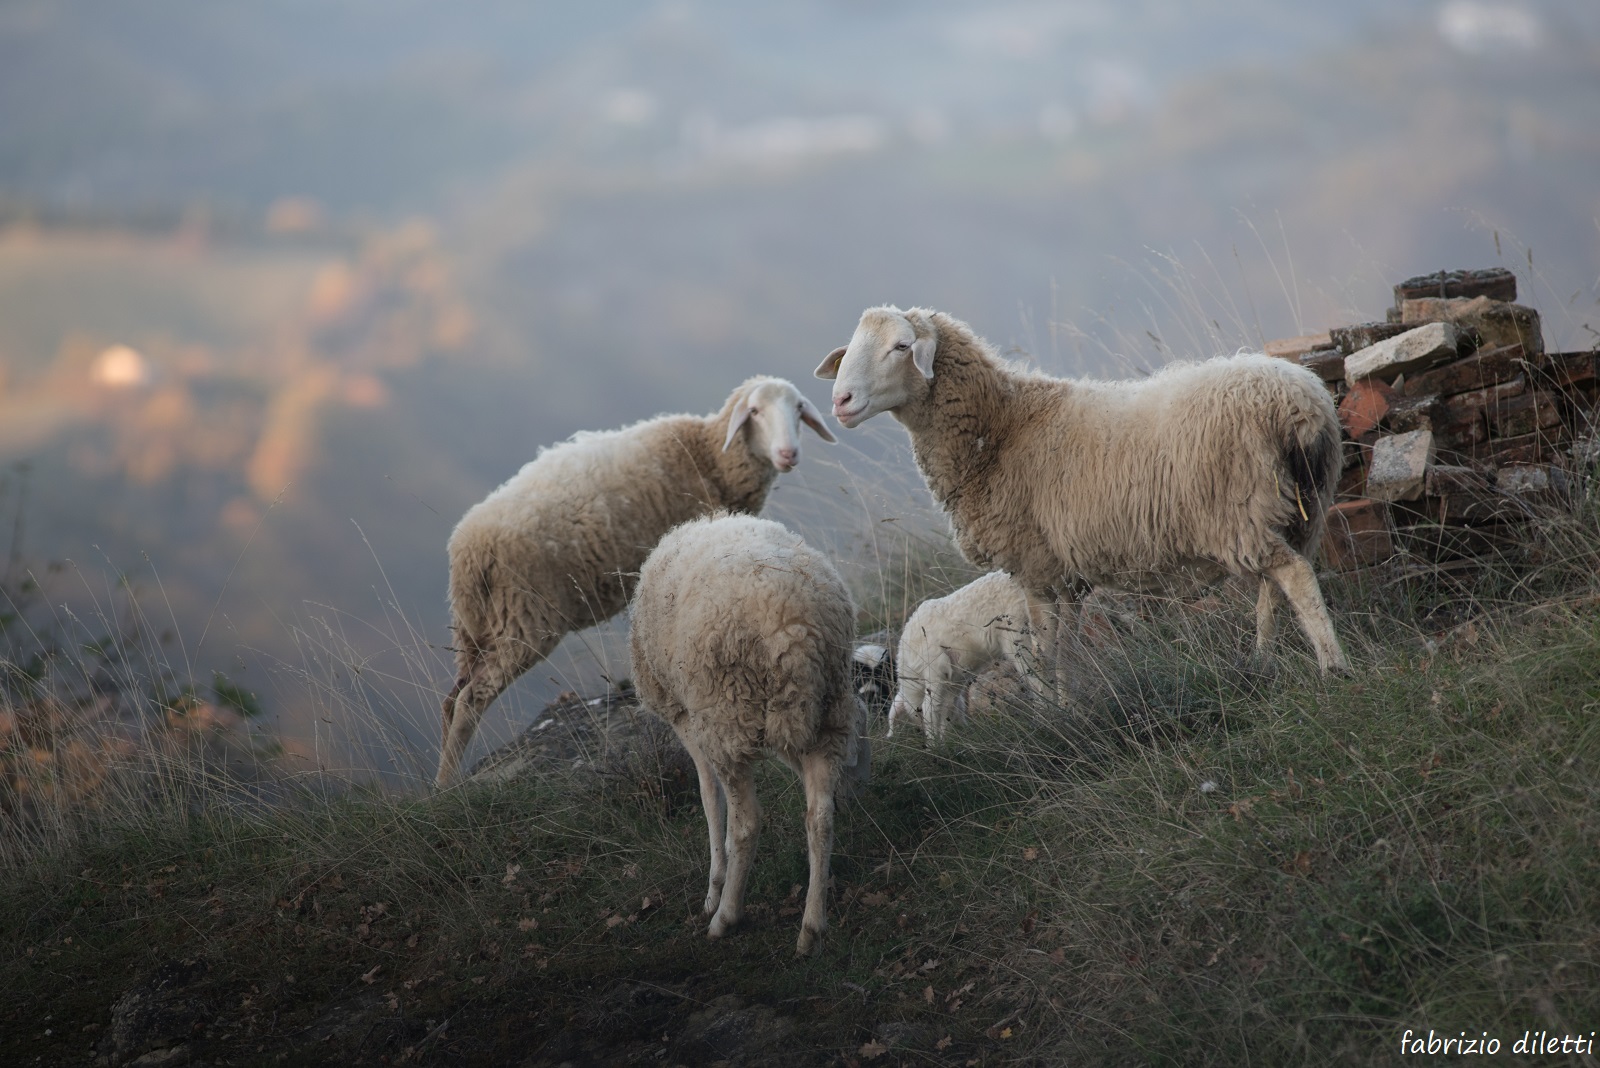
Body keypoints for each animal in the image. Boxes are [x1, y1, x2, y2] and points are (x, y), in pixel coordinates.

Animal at [437, 377, 836, 788]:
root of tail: (469, 547)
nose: (788, 453)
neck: (709, 454)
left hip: (476, 626)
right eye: (754, 411)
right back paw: (445, 785)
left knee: (452, 699)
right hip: (523, 618)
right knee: (470, 699)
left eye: (798, 408)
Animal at [628, 513, 871, 956]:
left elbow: (709, 798)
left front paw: (714, 888)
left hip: (727, 718)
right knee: (819, 817)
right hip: (823, 707)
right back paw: (812, 927)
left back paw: (727, 916)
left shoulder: (688, 719)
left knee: (748, 823)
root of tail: (791, 626)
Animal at [815, 306, 1349, 689]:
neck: (1002, 427)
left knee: (1295, 577)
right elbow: (1067, 648)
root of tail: (1299, 405)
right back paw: (1262, 660)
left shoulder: (1035, 567)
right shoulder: (1065, 574)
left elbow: (1044, 652)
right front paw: (1071, 703)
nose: (840, 402)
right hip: (1301, 509)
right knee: (1275, 586)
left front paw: (1051, 712)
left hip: (1241, 510)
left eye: (902, 345)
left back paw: (1332, 668)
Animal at [888, 571, 1029, 741]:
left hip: (1017, 633)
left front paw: (934, 744)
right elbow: (949, 709)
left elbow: (931, 709)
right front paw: (948, 738)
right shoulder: (953, 681)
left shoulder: (934, 669)